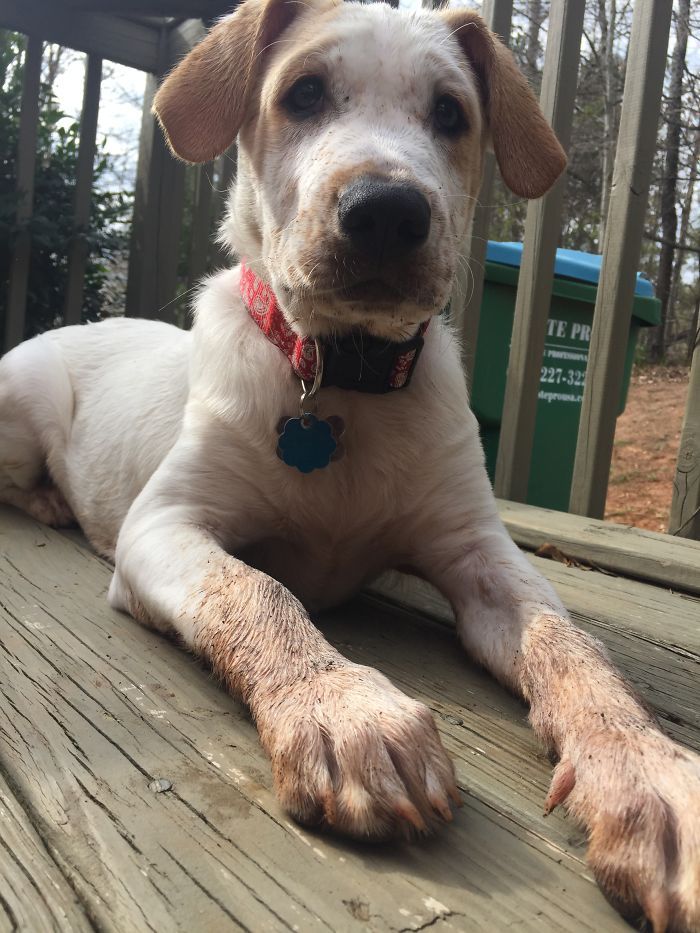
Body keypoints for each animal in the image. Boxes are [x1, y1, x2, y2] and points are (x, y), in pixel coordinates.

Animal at [0, 3, 696, 928]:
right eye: (302, 93)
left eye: (451, 113)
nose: (387, 212)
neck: (342, 376)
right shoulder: (166, 524)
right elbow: (257, 591)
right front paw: (343, 706)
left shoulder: (482, 554)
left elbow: (571, 646)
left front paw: (647, 768)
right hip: (22, 402)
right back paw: (50, 502)